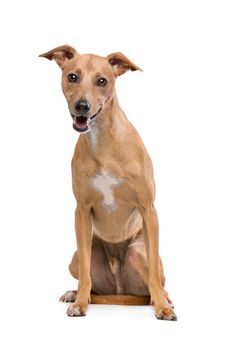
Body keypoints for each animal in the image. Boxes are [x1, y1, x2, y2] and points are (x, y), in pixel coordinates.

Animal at [39, 45, 177, 322]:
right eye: (72, 76)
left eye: (102, 81)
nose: (82, 106)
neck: (102, 140)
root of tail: (120, 289)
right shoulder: (81, 211)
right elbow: (85, 277)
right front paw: (80, 303)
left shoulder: (148, 210)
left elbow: (155, 278)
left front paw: (162, 307)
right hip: (77, 256)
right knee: (89, 279)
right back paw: (76, 294)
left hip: (137, 251)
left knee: (156, 283)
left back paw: (162, 299)